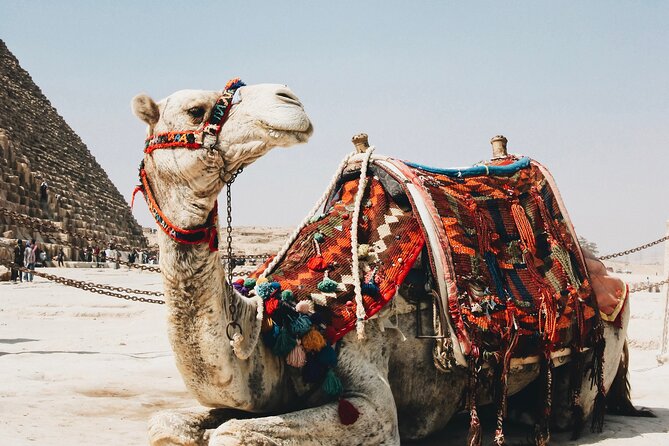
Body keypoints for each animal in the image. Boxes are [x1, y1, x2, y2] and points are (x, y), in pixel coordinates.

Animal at [131, 81, 645, 446]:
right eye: (196, 110)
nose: (288, 98)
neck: (291, 319)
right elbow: (166, 424)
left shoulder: (375, 404)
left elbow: (231, 436)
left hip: (598, 353)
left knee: (574, 405)